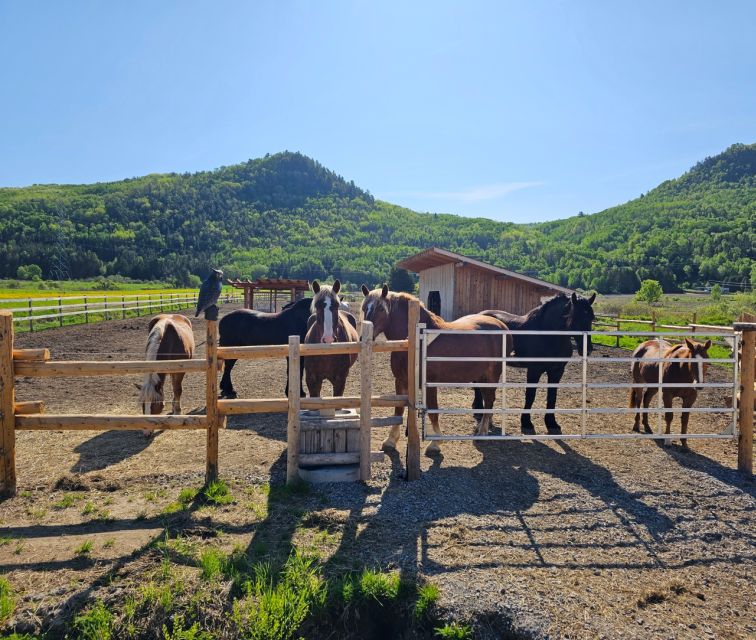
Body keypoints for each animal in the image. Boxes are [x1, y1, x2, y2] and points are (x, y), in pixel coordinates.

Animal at [358, 284, 508, 456]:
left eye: (381, 309)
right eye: (364, 308)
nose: (363, 339)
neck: (417, 341)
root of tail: (501, 326)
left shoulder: (429, 384)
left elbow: (433, 411)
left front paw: (435, 443)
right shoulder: (401, 381)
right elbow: (398, 410)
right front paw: (390, 440)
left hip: (492, 375)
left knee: (489, 399)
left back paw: (482, 431)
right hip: (482, 377)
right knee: (487, 399)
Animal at [472, 292, 596, 436]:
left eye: (591, 318)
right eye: (575, 317)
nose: (587, 349)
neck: (547, 335)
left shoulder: (557, 371)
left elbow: (552, 396)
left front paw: (552, 423)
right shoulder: (534, 370)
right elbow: (531, 395)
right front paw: (526, 423)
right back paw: (479, 410)